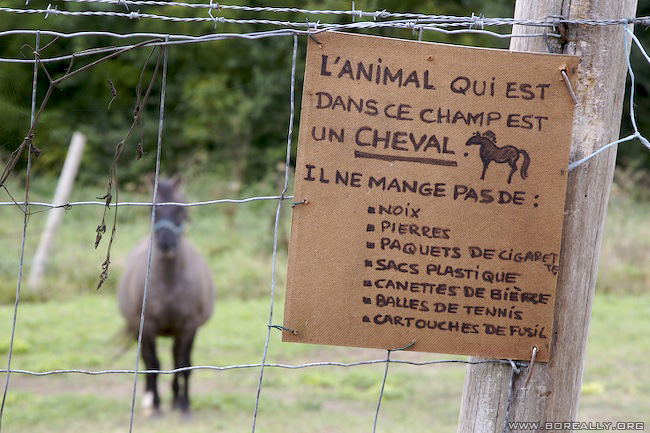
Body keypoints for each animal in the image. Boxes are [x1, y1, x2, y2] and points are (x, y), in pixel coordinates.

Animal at [117, 174, 214, 416]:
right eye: (152, 210)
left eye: (180, 209)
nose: (166, 243)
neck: (169, 282)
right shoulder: (148, 327)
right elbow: (153, 364)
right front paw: (156, 406)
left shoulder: (188, 327)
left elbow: (184, 365)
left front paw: (184, 404)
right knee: (146, 361)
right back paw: (148, 399)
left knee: (175, 357)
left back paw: (176, 398)